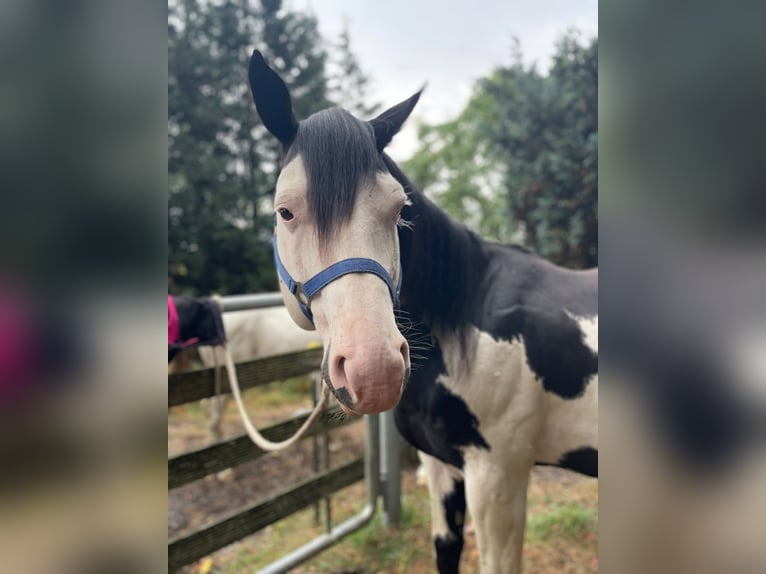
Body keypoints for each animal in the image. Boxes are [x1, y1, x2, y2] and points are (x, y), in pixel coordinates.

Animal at [247, 50, 598, 573]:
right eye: (285, 211)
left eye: (399, 211)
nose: (375, 371)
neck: (464, 320)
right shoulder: (441, 467)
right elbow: (445, 551)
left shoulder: (498, 477)